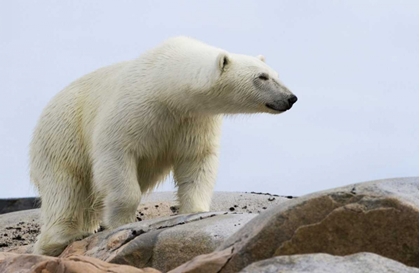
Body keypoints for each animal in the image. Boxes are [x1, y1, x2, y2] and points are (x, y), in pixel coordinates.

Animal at [29, 36, 296, 255]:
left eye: (275, 73)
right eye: (262, 77)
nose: (291, 98)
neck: (166, 86)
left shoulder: (194, 120)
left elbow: (197, 161)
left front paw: (196, 210)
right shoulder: (132, 110)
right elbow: (117, 153)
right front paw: (121, 223)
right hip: (63, 135)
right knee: (66, 187)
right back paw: (61, 238)